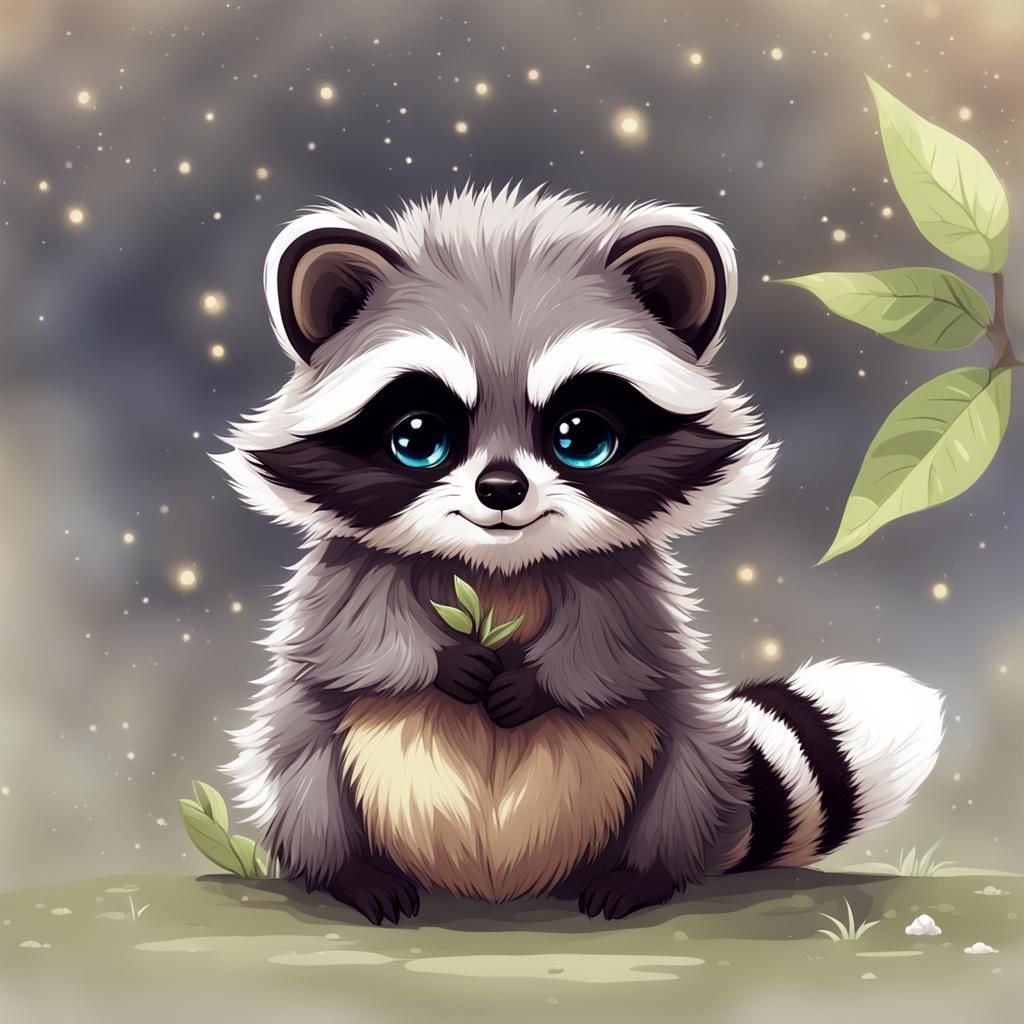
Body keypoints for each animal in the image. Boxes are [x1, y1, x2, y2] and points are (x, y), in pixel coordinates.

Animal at [214, 185, 944, 923]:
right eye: (417, 438)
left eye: (580, 436)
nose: (501, 489)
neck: (497, 565)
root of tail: (496, 885)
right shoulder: (353, 570)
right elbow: (359, 645)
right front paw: (442, 661)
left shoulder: (622, 576)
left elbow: (613, 653)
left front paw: (538, 681)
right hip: (310, 763)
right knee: (304, 768)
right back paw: (350, 871)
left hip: (687, 765)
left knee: (679, 767)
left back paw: (642, 874)